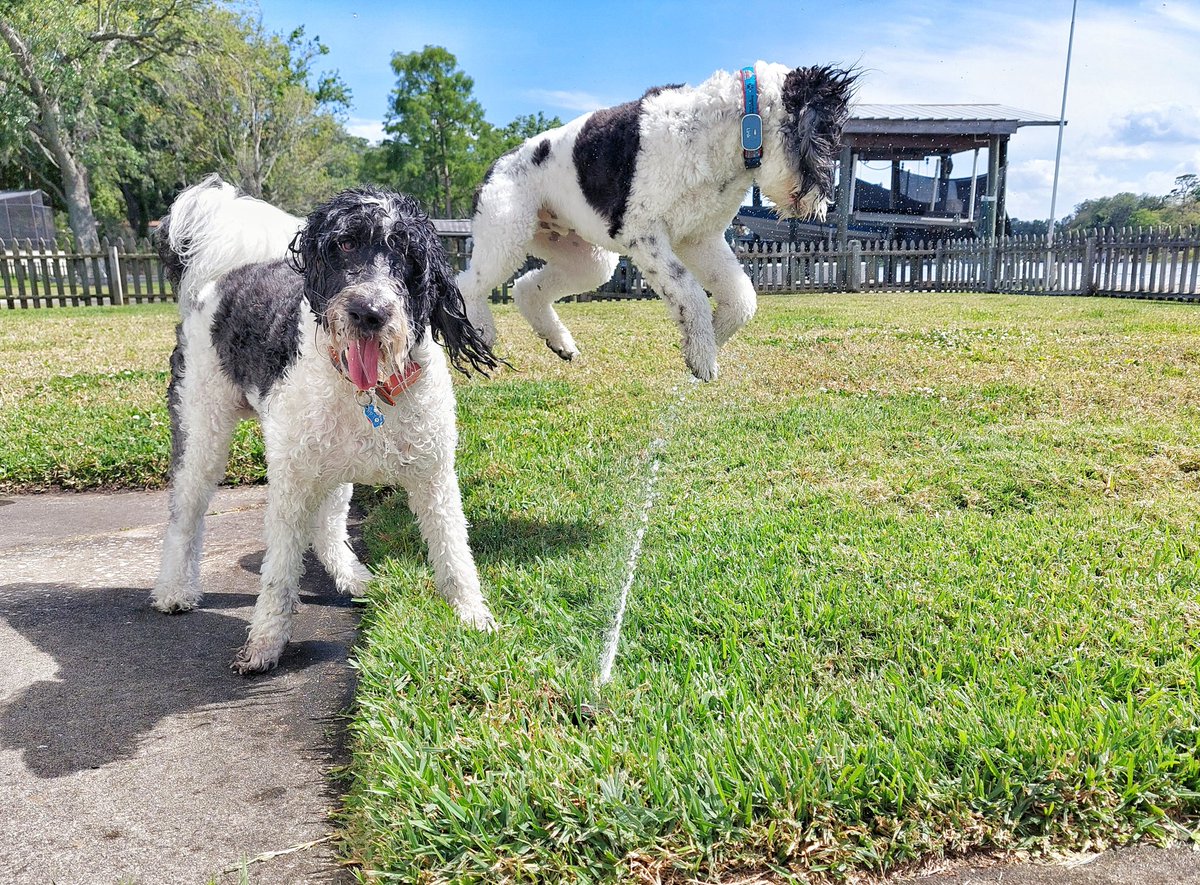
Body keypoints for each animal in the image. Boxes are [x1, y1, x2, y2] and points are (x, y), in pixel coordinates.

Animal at [156, 179, 501, 676]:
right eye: (345, 244)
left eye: (409, 254)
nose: (369, 312)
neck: (370, 392)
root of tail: (228, 273)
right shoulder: (290, 481)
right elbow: (279, 571)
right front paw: (265, 643)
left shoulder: (434, 476)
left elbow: (454, 552)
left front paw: (473, 616)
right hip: (204, 429)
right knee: (185, 516)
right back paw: (173, 592)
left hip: (333, 466)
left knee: (328, 527)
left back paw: (355, 578)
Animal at [458, 61, 854, 378]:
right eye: (827, 137)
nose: (828, 203)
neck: (720, 126)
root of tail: (493, 167)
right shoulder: (644, 235)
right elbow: (691, 294)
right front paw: (702, 357)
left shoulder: (700, 238)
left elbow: (742, 298)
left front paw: (709, 339)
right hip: (506, 235)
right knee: (467, 285)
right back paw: (482, 333)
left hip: (586, 259)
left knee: (526, 288)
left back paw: (561, 344)